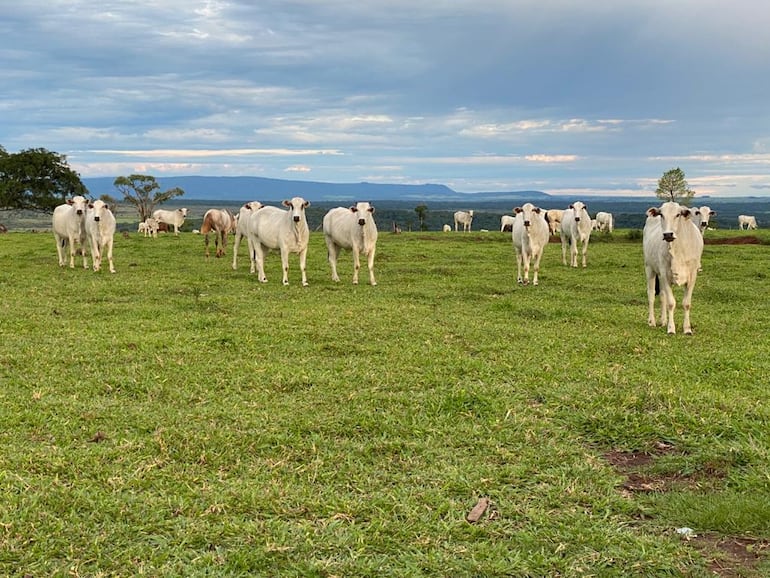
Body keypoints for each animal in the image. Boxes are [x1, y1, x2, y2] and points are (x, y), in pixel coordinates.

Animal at [640, 201, 704, 332]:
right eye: (661, 214)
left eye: (678, 214)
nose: (668, 234)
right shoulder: (665, 274)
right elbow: (671, 303)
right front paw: (671, 328)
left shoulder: (692, 275)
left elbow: (686, 303)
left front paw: (687, 329)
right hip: (649, 268)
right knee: (651, 295)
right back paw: (652, 321)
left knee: (662, 295)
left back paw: (663, 320)